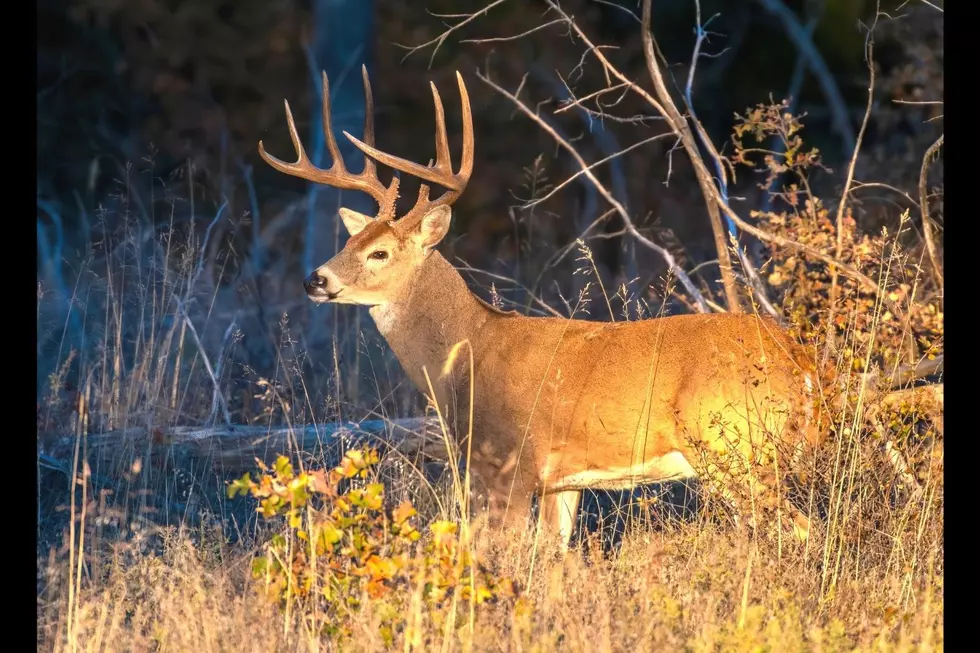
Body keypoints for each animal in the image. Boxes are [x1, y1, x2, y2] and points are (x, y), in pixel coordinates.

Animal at [258, 66, 828, 549]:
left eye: (379, 253)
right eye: (350, 242)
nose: (315, 279)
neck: (468, 353)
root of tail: (801, 361)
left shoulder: (510, 464)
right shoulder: (561, 481)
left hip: (736, 448)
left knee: (802, 529)